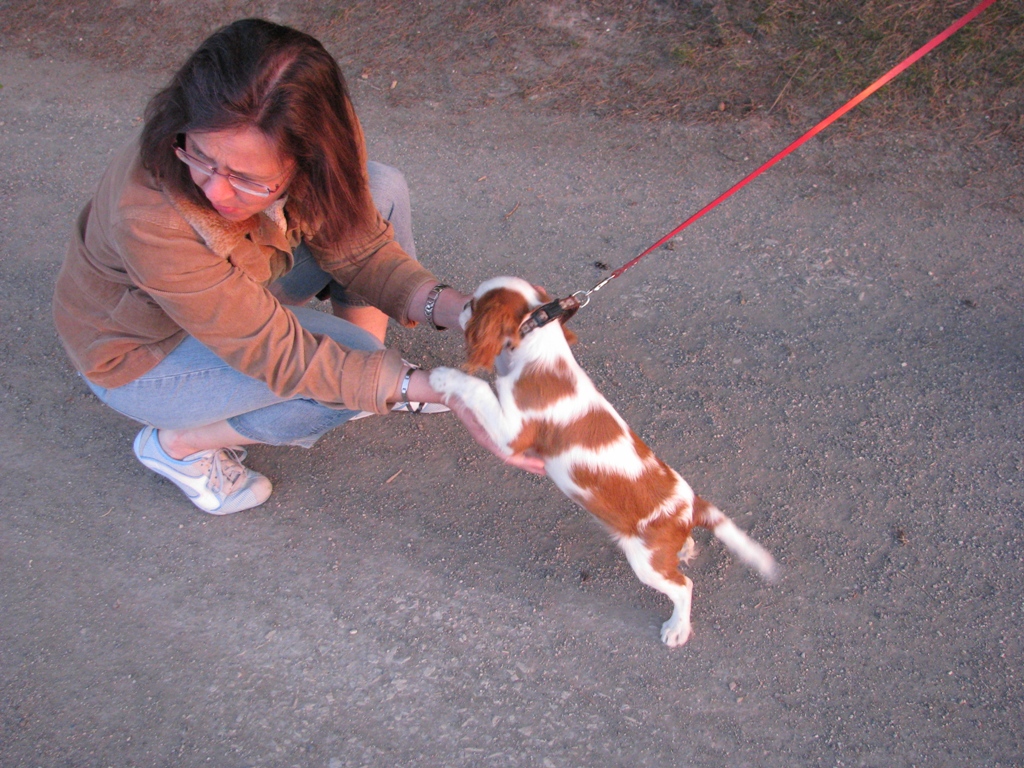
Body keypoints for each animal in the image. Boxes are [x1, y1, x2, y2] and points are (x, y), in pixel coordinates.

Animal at [429, 276, 777, 646]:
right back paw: (685, 549)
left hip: (645, 561)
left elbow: (478, 387)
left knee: (684, 586)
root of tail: (692, 504)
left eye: (473, 305)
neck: (541, 349)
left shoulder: (512, 434)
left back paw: (677, 628)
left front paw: (442, 377)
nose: (459, 306)